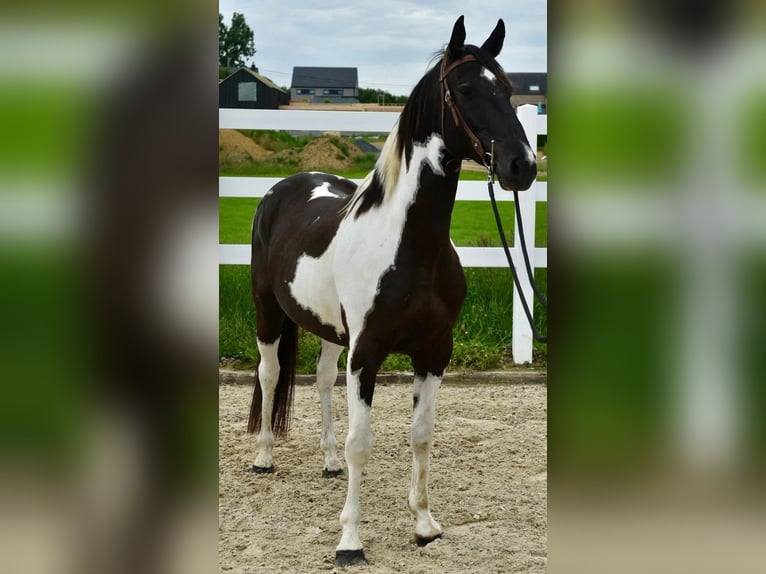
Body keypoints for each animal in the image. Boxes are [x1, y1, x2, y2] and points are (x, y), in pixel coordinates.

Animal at [246, 15, 537, 565]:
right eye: (465, 89)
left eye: (509, 90)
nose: (523, 166)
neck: (410, 248)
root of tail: (281, 188)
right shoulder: (368, 353)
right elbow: (363, 441)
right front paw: (350, 542)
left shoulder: (434, 351)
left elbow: (421, 436)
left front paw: (424, 525)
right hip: (269, 314)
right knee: (270, 376)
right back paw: (263, 458)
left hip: (329, 330)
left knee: (320, 380)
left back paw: (329, 462)